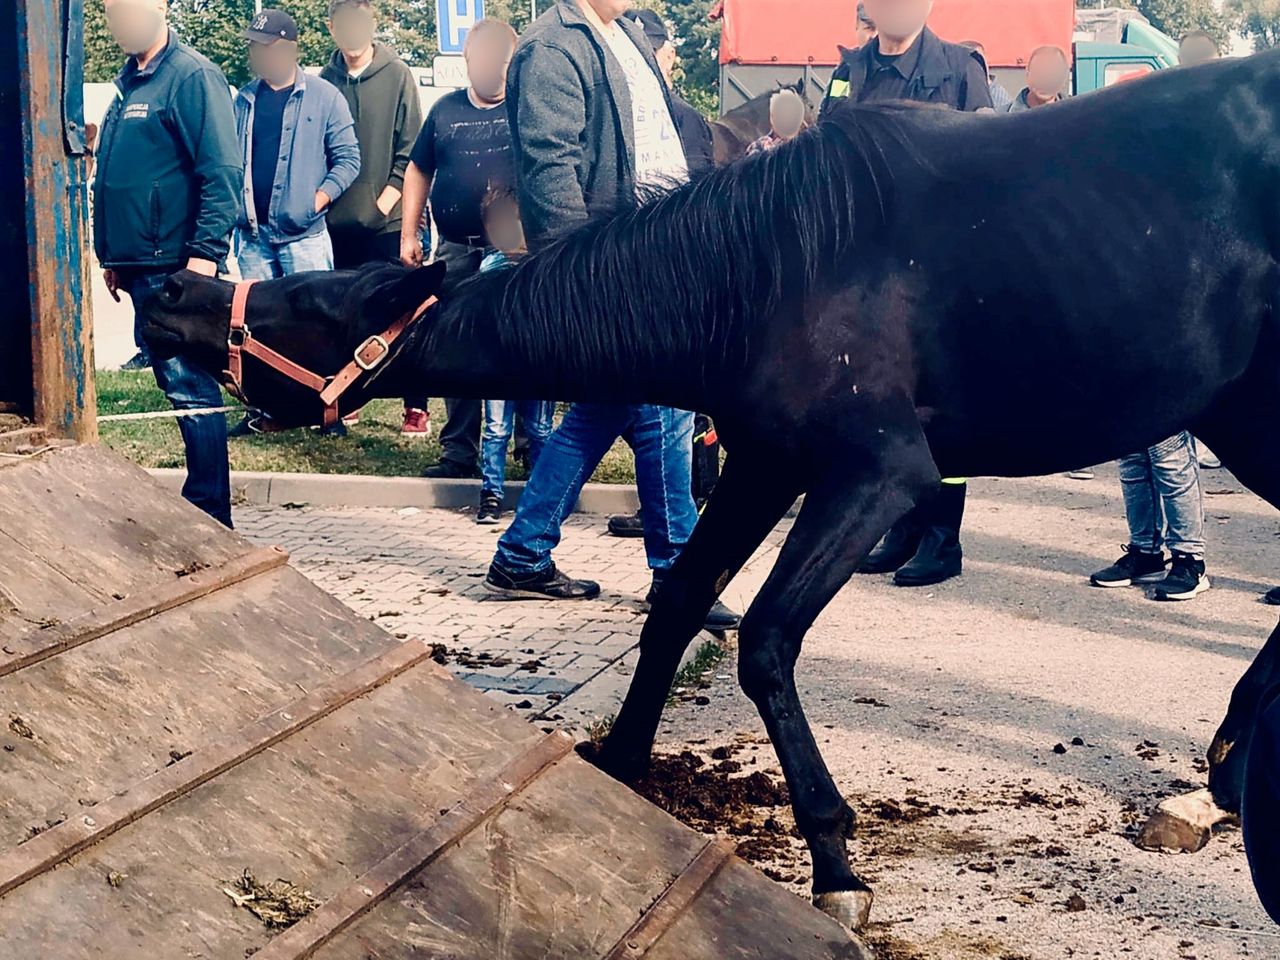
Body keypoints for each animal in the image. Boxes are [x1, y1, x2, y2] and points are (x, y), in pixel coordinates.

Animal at [145, 50, 1280, 931]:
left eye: (305, 303)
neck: (767, 269)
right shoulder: (766, 465)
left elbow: (765, 639)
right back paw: (1227, 754)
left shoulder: (875, 474)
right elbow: (679, 602)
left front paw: (833, 858)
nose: (164, 291)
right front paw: (620, 763)